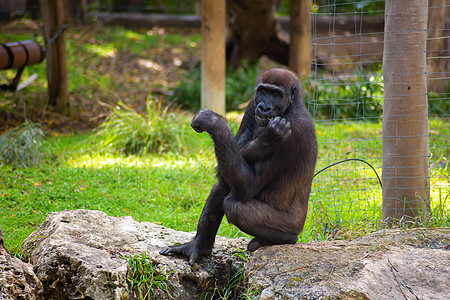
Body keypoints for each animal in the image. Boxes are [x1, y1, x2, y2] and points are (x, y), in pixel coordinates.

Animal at [160, 68, 318, 264]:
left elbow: (249, 185)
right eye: (263, 91)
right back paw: (199, 246)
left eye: (276, 94)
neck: (291, 106)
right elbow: (235, 154)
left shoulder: (293, 131)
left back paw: (284, 238)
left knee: (235, 205)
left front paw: (214, 123)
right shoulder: (251, 104)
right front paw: (267, 140)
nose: (264, 107)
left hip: (293, 224)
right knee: (224, 183)